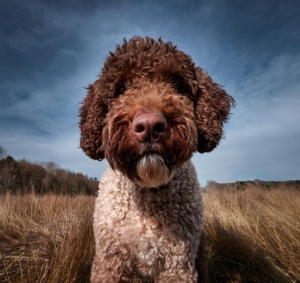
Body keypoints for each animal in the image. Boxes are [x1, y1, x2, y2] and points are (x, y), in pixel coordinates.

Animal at [79, 36, 234, 282]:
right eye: (121, 88)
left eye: (178, 85)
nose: (150, 126)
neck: (148, 192)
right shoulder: (110, 261)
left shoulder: (178, 265)